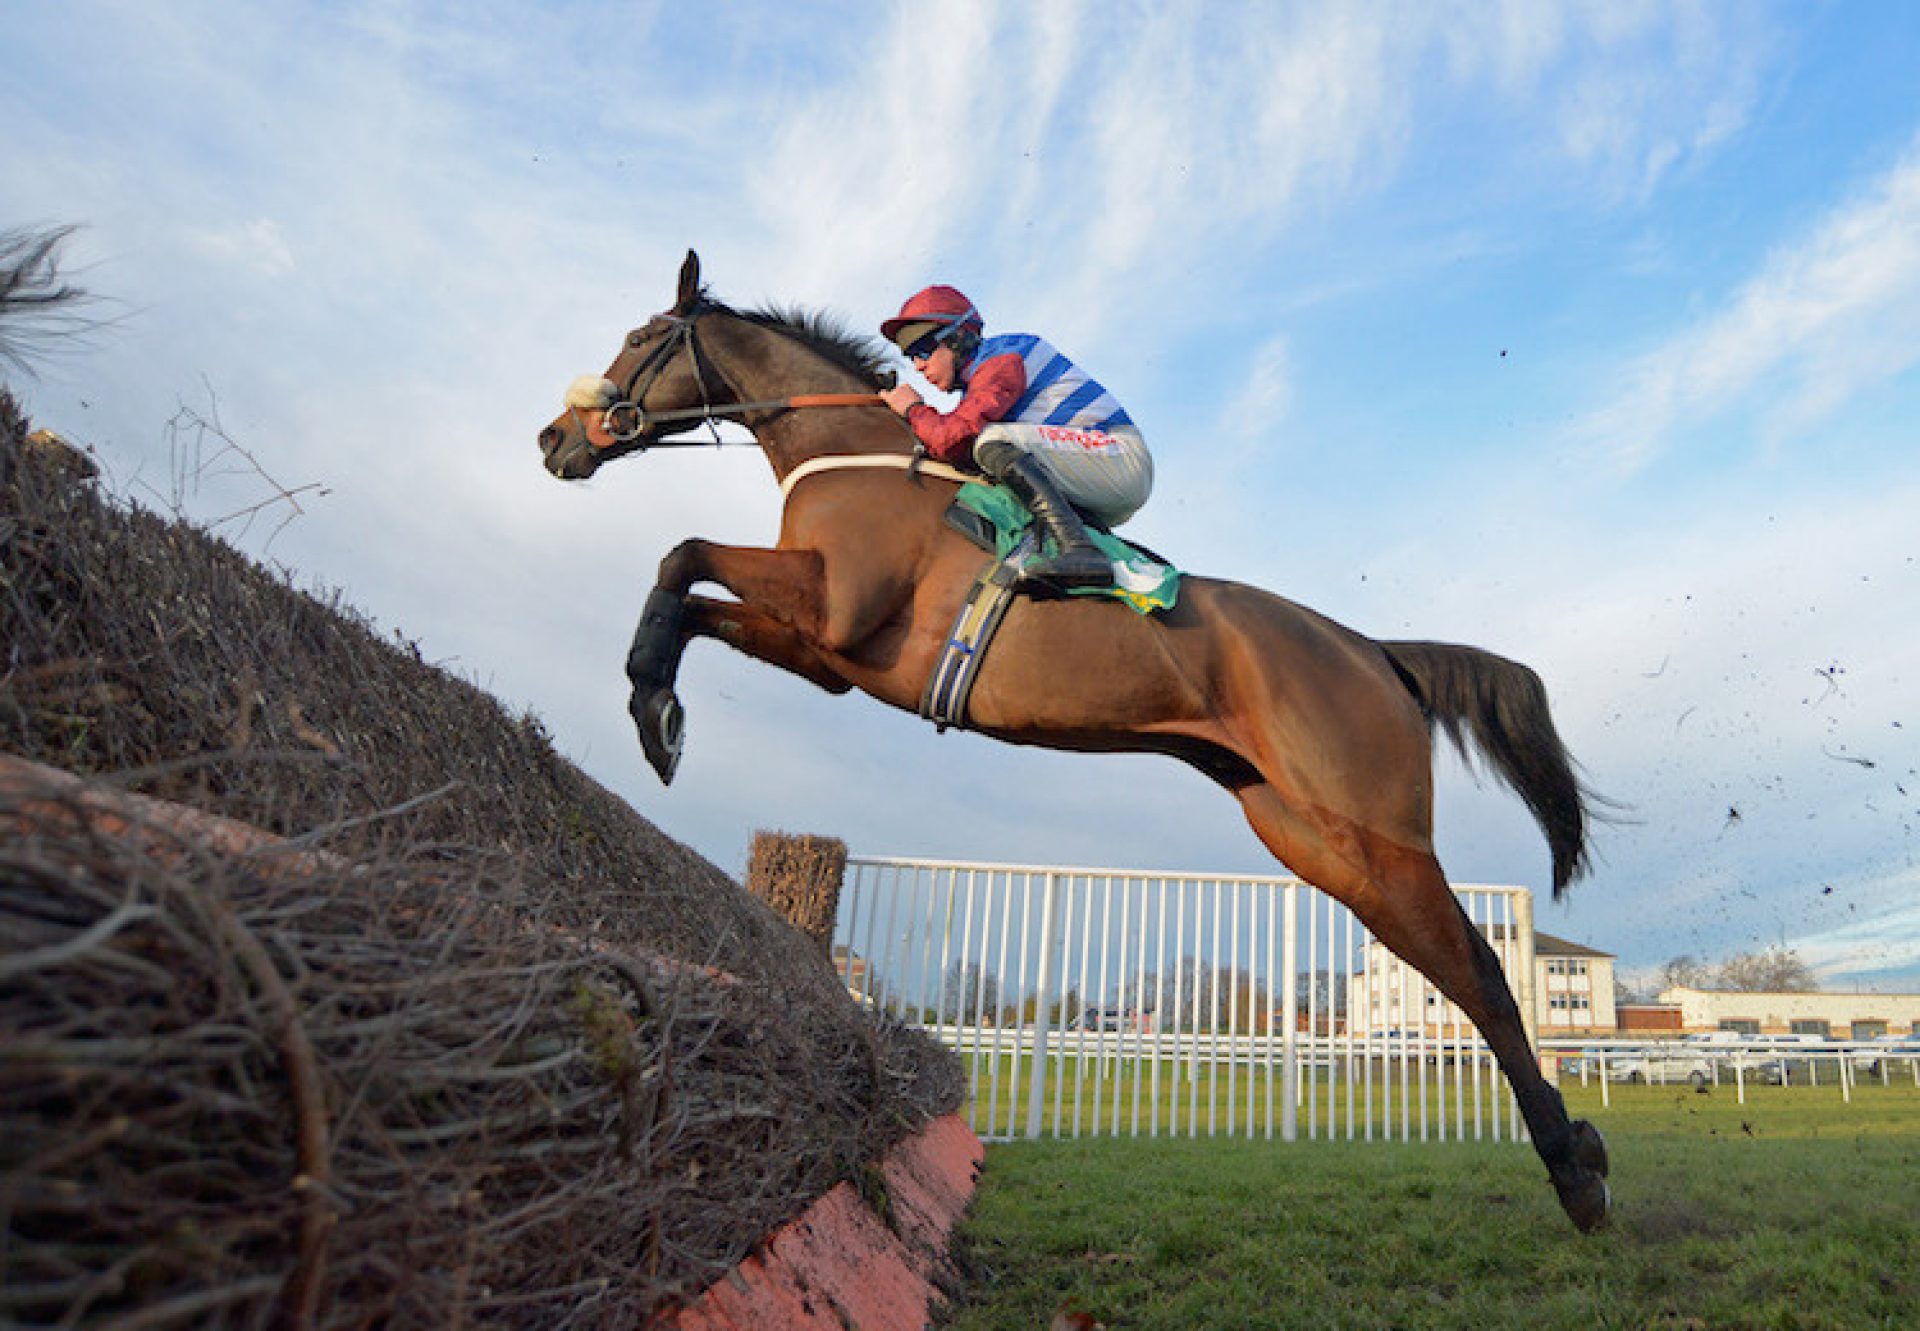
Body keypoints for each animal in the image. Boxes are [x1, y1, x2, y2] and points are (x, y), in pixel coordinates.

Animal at [537, 251, 1605, 1236]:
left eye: (639, 338)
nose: (556, 438)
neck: (853, 456)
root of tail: (1373, 650)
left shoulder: (833, 608)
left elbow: (682, 553)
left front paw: (652, 705)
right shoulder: (826, 652)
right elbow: (690, 592)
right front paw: (657, 704)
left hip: (1375, 830)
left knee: (1484, 976)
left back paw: (1575, 1171)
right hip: (1315, 838)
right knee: (1454, 967)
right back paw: (1575, 1150)